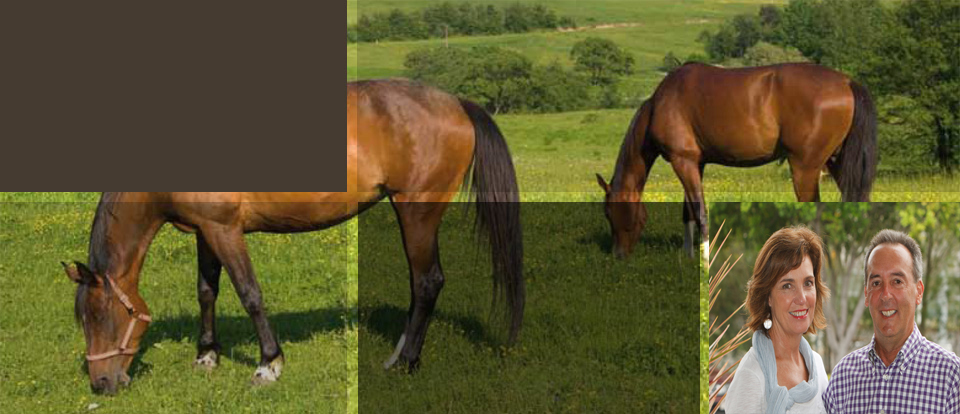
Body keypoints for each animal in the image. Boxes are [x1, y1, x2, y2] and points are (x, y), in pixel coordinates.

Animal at [62, 79, 525, 395]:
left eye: (100, 316)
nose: (101, 383)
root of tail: (456, 103)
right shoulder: (205, 232)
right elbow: (206, 291)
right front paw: (206, 356)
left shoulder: (225, 230)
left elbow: (249, 293)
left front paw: (269, 365)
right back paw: (398, 354)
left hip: (418, 211)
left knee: (428, 282)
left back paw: (406, 363)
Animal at [596, 63, 877, 258]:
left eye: (608, 213)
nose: (617, 255)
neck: (661, 103)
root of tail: (847, 82)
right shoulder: (694, 163)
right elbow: (688, 211)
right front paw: (688, 255)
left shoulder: (682, 160)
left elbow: (700, 211)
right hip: (837, 163)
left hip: (805, 168)